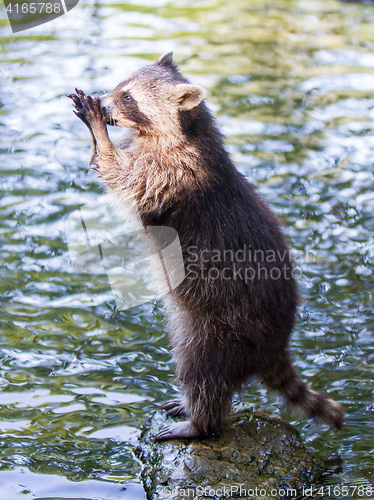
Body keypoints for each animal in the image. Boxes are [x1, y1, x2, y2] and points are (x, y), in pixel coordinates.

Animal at [68, 52, 344, 440]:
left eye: (128, 98)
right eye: (120, 86)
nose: (104, 102)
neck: (189, 129)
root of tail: (276, 344)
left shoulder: (173, 170)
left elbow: (126, 178)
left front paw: (99, 134)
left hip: (224, 330)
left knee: (203, 374)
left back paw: (200, 422)